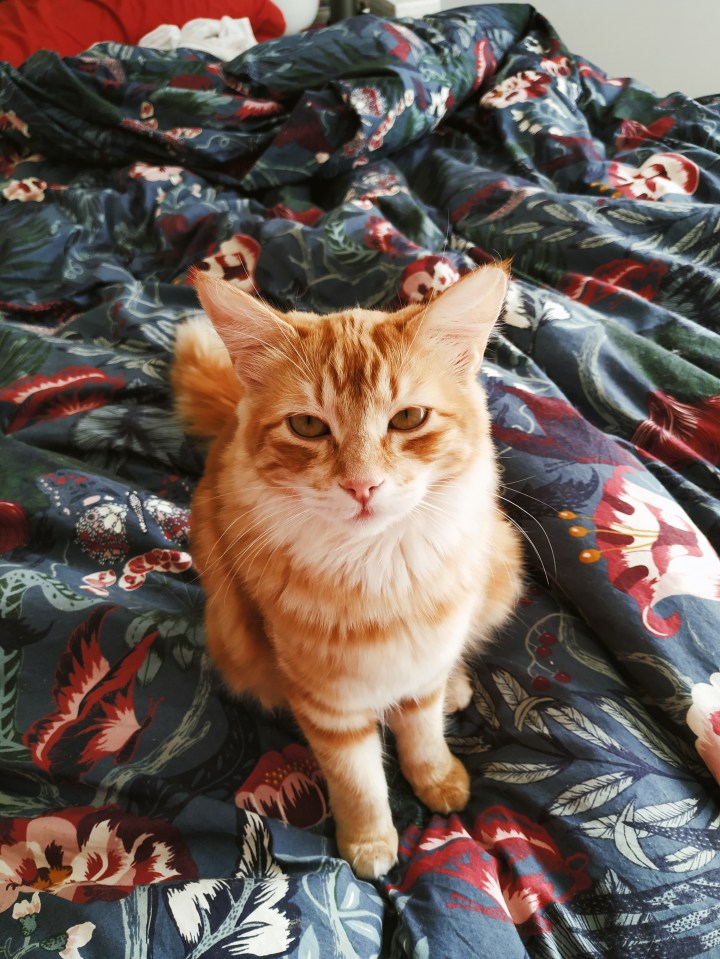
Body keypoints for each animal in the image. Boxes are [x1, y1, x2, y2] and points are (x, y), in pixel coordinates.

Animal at [172, 265, 523, 880]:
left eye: (408, 418)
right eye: (308, 426)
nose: (362, 486)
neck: (378, 568)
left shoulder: (423, 665)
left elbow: (423, 735)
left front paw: (439, 780)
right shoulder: (326, 702)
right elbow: (358, 780)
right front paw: (369, 843)